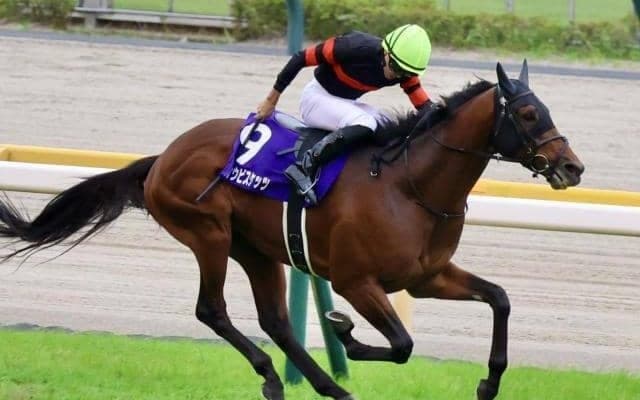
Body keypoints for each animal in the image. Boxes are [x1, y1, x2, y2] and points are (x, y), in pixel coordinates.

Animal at [0, 61, 584, 400]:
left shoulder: (426, 277)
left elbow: (500, 298)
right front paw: (344, 331)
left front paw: (489, 381)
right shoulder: (356, 281)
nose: (572, 167)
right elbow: (400, 344)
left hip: (256, 249)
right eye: (528, 114)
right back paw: (274, 376)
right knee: (213, 310)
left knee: (276, 320)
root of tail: (163, 156)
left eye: (545, 109)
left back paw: (326, 387)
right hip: (208, 233)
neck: (411, 184)